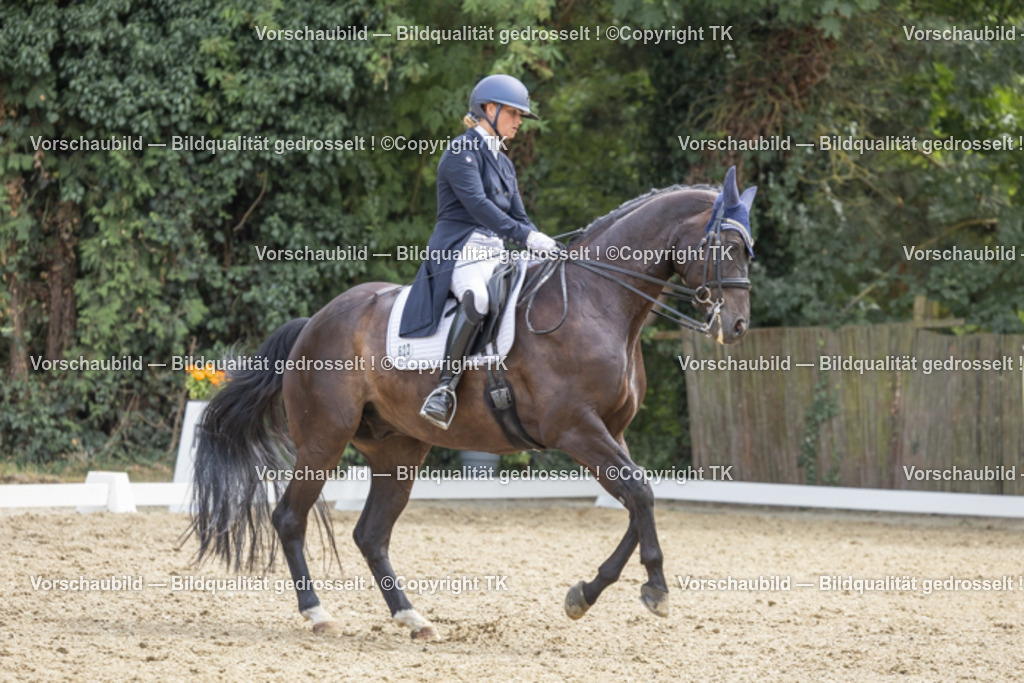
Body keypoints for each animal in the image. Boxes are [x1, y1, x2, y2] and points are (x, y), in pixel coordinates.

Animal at [187, 166, 756, 640]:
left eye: (748, 250)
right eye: (727, 247)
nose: (736, 326)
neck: (599, 301)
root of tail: (317, 320)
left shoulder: (611, 432)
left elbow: (641, 500)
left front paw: (584, 595)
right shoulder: (577, 429)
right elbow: (639, 494)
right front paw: (654, 588)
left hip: (398, 450)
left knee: (371, 535)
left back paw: (413, 618)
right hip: (324, 440)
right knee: (290, 518)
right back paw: (318, 613)